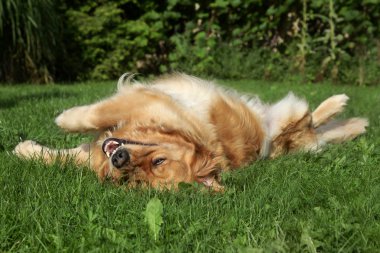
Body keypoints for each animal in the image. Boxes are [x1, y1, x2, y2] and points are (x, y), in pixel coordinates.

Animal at [14, 74, 368, 191]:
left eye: (154, 166)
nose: (119, 159)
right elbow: (82, 132)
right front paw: (30, 146)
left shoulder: (148, 99)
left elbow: (97, 114)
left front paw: (61, 119)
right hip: (281, 119)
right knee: (311, 123)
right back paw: (345, 109)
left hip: (289, 123)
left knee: (310, 122)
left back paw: (341, 105)